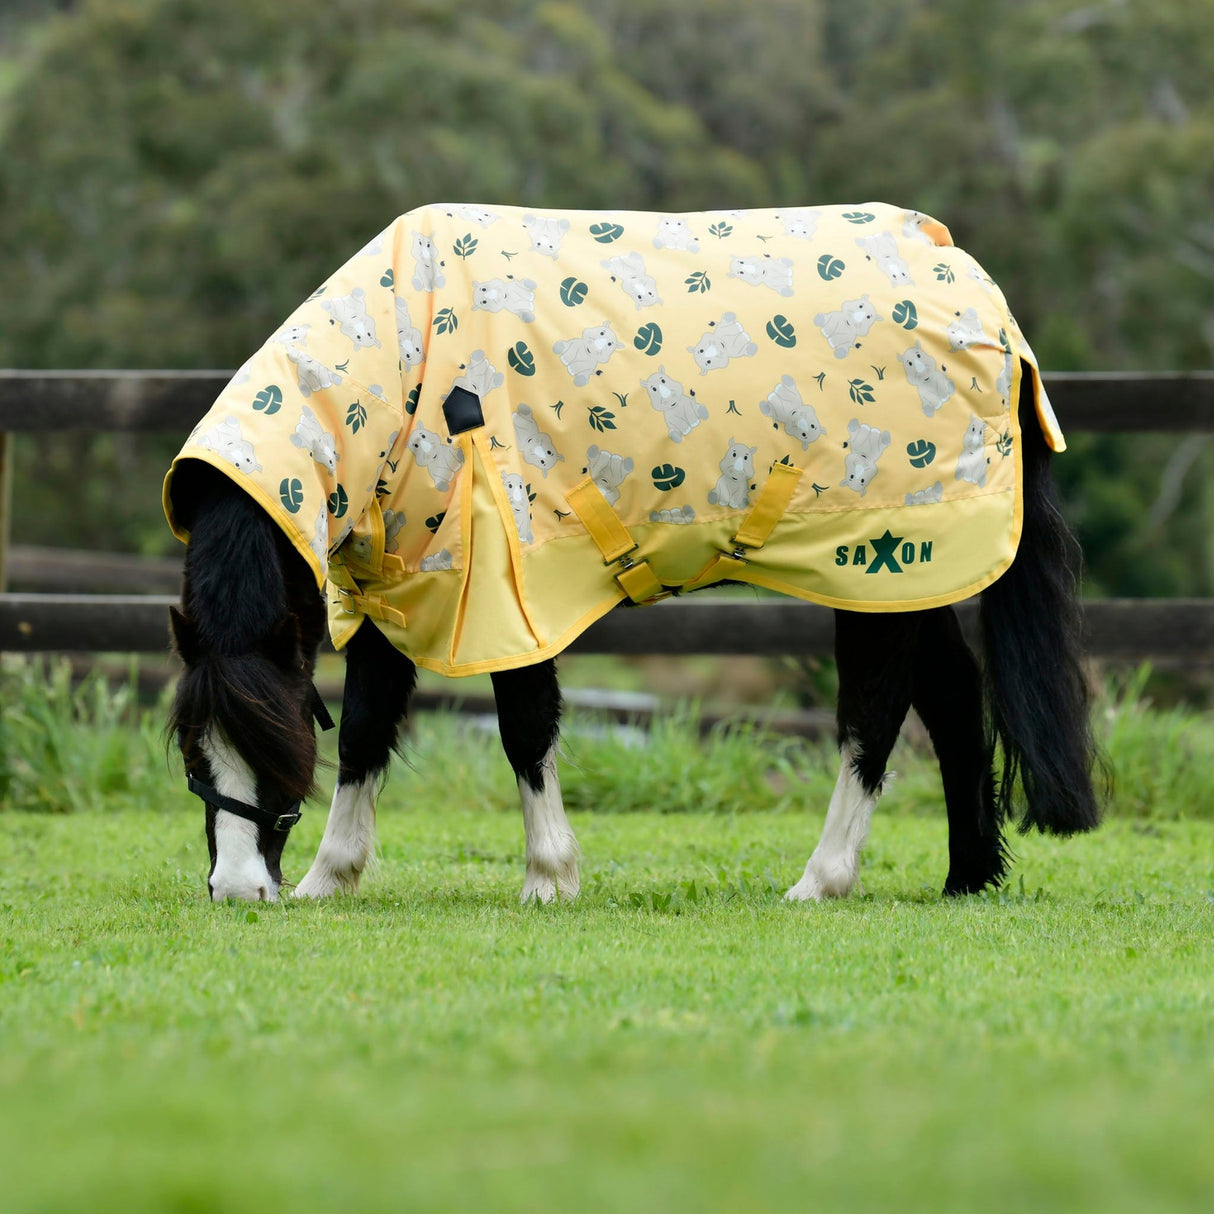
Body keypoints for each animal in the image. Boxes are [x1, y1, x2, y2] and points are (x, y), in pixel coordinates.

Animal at [165, 203, 1101, 902]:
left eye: (273, 747)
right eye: (193, 751)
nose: (239, 889)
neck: (406, 365)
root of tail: (975, 288)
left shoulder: (509, 586)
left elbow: (524, 728)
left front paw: (549, 878)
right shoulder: (397, 585)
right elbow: (364, 731)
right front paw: (331, 877)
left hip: (877, 568)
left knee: (873, 716)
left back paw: (822, 880)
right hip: (909, 575)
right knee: (952, 700)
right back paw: (966, 876)